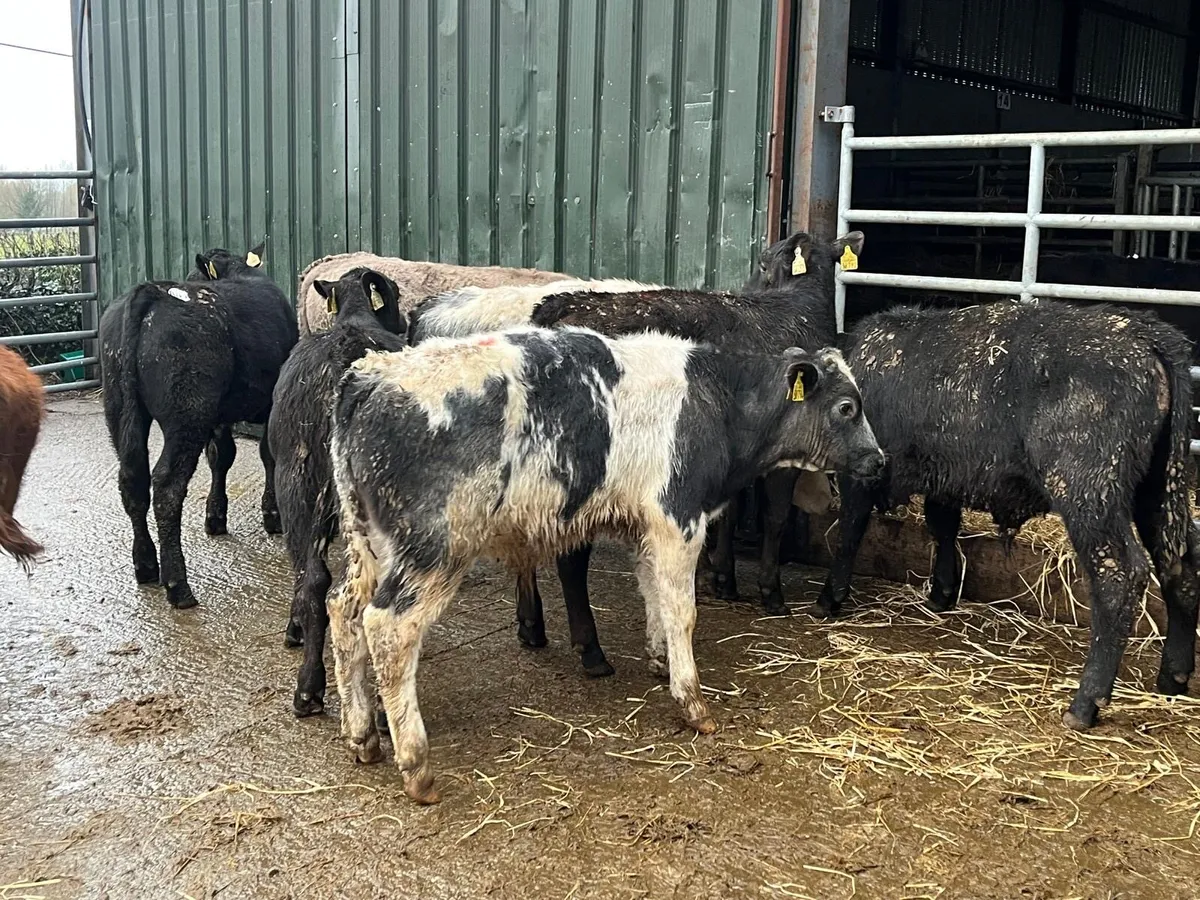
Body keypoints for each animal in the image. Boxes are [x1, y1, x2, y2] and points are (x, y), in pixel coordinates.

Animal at [99, 244, 298, 609]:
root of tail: (151, 292)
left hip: (120, 410)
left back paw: (146, 565)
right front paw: (272, 514)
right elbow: (267, 454)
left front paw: (215, 517)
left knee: (132, 479)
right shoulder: (269, 402)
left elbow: (222, 456)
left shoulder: (219, 415)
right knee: (166, 485)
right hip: (187, 415)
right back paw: (178, 585)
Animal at [326, 326, 884, 803]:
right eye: (846, 407)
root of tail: (370, 375)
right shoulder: (678, 515)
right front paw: (692, 701)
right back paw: (416, 764)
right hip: (433, 549)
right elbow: (683, 611)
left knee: (343, 611)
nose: (879, 461)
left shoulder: (645, 525)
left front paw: (660, 659)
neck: (718, 400)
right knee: (388, 628)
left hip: (369, 544)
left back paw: (362, 733)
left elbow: (654, 595)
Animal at [813, 298, 1198, 730]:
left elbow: (849, 531)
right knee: (1181, 564)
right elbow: (942, 526)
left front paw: (830, 598)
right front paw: (942, 593)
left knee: (1120, 575)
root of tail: (1143, 331)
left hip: (1088, 490)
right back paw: (1173, 678)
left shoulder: (860, 472)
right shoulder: (945, 475)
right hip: (1160, 488)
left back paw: (1086, 703)